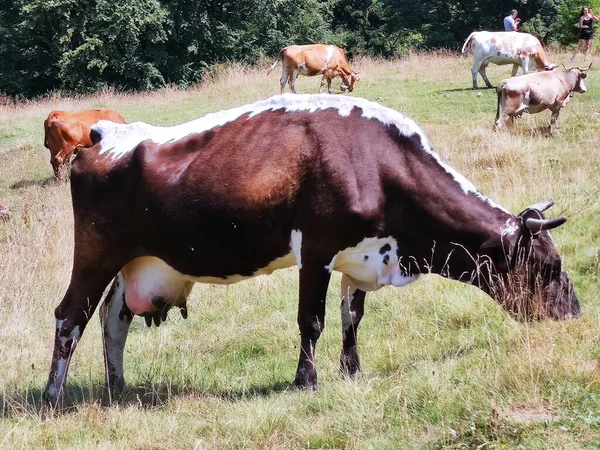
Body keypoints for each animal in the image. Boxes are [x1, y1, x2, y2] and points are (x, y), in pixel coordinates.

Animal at [44, 93, 580, 406]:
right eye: (550, 266)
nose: (575, 315)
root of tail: (105, 132)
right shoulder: (317, 249)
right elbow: (313, 320)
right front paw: (307, 380)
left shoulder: (362, 256)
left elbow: (352, 316)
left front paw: (352, 370)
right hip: (95, 252)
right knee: (71, 316)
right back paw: (53, 393)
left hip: (137, 261)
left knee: (114, 319)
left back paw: (118, 387)